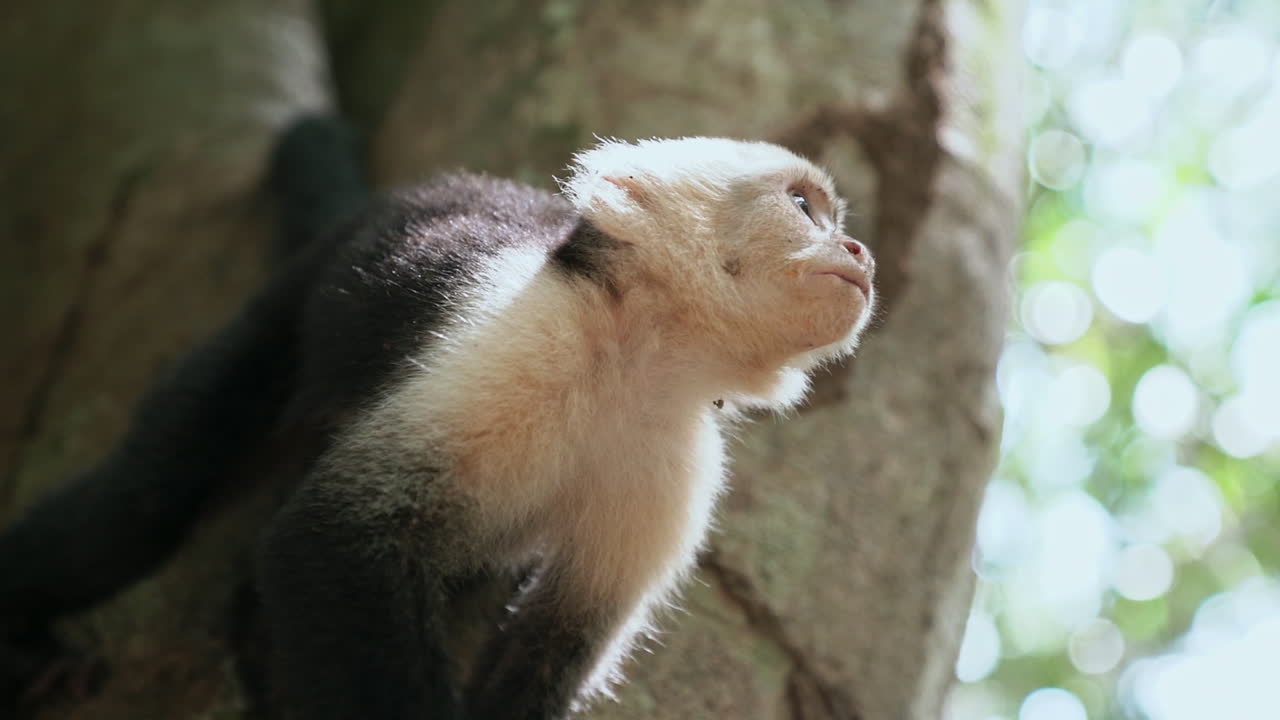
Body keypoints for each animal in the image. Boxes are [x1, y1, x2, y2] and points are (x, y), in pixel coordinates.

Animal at [0, 115, 876, 719]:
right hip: (289, 304)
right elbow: (330, 539)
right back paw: (28, 630)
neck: (637, 359)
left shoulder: (680, 456)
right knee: (143, 502)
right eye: (805, 207)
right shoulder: (514, 343)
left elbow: (559, 639)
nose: (860, 252)